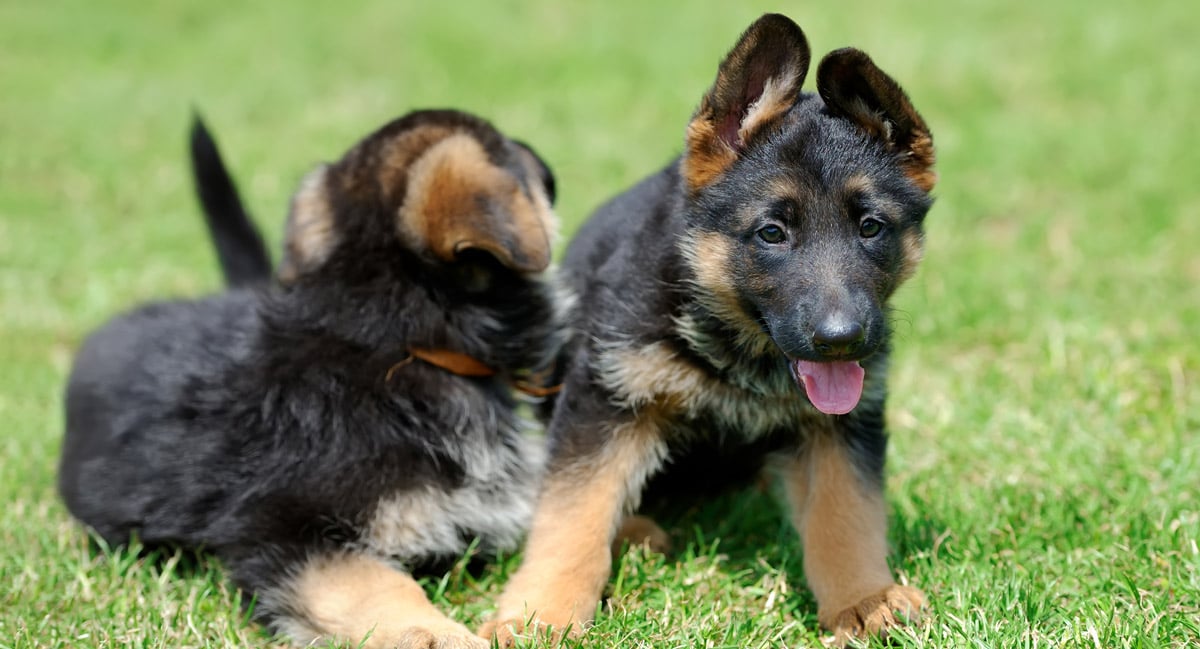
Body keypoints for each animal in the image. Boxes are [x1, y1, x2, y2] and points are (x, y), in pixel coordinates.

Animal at [482, 12, 940, 643]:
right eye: (772, 233)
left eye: (871, 227)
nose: (840, 339)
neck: (737, 344)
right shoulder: (605, 399)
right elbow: (574, 512)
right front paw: (542, 613)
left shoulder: (842, 427)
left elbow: (846, 514)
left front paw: (863, 598)